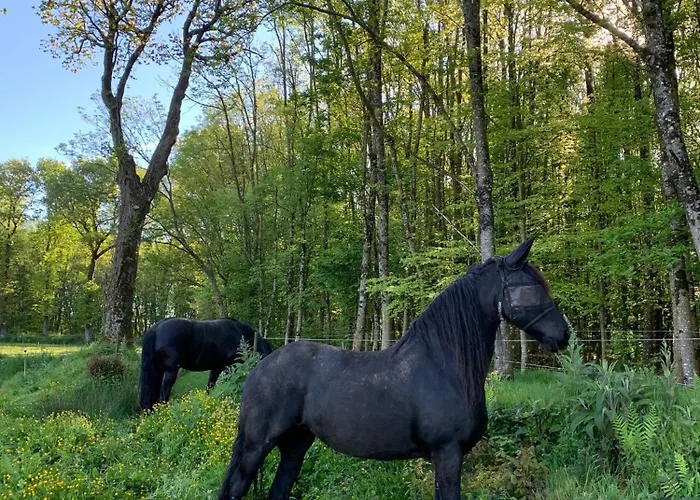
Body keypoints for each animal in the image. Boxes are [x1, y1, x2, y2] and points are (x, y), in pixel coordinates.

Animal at [138, 317, 273, 411]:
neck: (241, 334)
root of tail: (156, 328)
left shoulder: (216, 368)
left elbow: (210, 386)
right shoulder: (229, 367)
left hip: (157, 370)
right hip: (170, 371)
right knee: (164, 392)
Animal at [218, 238, 570, 500]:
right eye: (532, 287)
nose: (563, 334)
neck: (444, 365)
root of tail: (261, 368)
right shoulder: (448, 454)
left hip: (295, 445)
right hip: (256, 447)